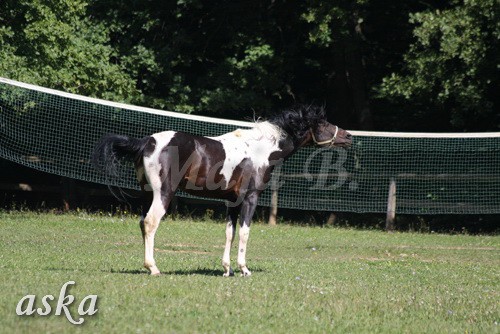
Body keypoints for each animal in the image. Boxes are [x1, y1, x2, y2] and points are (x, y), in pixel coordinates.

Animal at [94, 106, 352, 276]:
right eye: (322, 124)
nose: (348, 136)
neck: (259, 149)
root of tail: (147, 142)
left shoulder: (232, 202)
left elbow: (230, 233)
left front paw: (227, 270)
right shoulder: (250, 199)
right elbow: (245, 232)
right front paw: (244, 269)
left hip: (147, 195)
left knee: (142, 223)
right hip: (162, 195)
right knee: (150, 223)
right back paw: (154, 268)